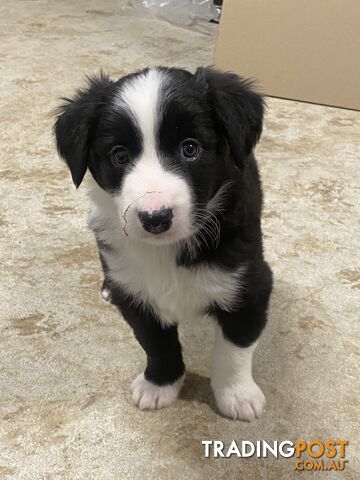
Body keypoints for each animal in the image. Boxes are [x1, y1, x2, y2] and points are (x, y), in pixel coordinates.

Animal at [54, 67, 272, 420]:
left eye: (190, 148)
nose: (155, 217)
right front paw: (159, 385)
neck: (166, 250)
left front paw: (237, 396)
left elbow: (234, 349)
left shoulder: (250, 285)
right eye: (119, 155)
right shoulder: (136, 295)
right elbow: (156, 342)